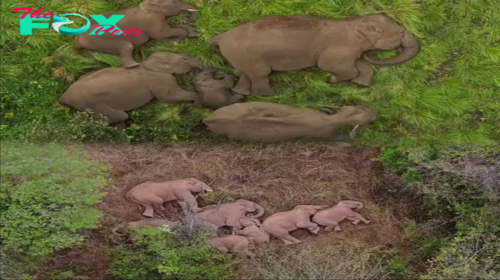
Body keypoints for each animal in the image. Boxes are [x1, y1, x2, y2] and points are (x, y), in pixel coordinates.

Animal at [59, 52, 204, 129]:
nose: (200, 62)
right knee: (120, 116)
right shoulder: (160, 80)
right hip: (90, 103)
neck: (147, 62)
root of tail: (64, 97)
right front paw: (198, 99)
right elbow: (171, 96)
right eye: (184, 58)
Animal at [209, 14, 420, 96]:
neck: (354, 23)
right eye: (401, 32)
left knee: (247, 73)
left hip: (243, 57)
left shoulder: (351, 50)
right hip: (251, 58)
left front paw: (361, 84)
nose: (372, 54)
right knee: (261, 74)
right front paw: (332, 79)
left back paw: (241, 92)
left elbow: (359, 65)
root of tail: (220, 37)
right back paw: (269, 94)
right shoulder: (339, 49)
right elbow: (328, 65)